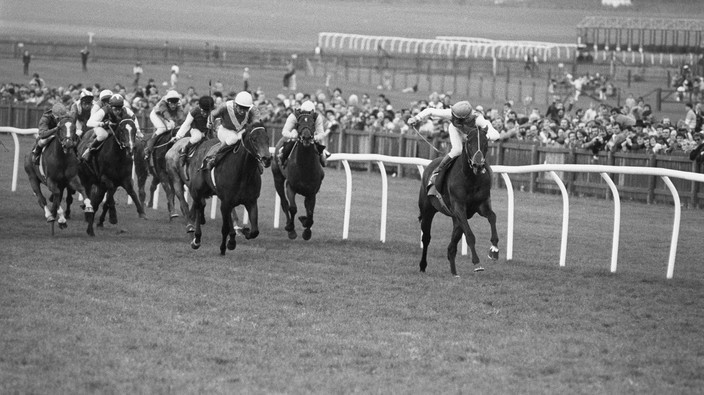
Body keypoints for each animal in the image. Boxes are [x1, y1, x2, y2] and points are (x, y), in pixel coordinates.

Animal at [184, 122, 272, 255]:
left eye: (267, 139)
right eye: (254, 139)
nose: (267, 159)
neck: (243, 173)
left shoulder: (251, 201)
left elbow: (255, 231)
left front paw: (242, 233)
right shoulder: (225, 202)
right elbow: (224, 227)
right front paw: (223, 248)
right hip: (197, 191)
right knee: (199, 208)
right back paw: (196, 239)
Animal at [418, 128, 500, 276]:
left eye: (486, 143)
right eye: (469, 142)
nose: (478, 165)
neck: (470, 178)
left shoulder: (481, 205)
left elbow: (492, 216)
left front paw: (494, 250)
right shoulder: (459, 208)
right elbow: (470, 235)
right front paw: (477, 262)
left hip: (456, 220)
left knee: (451, 247)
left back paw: (454, 273)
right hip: (428, 210)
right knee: (426, 238)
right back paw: (422, 266)